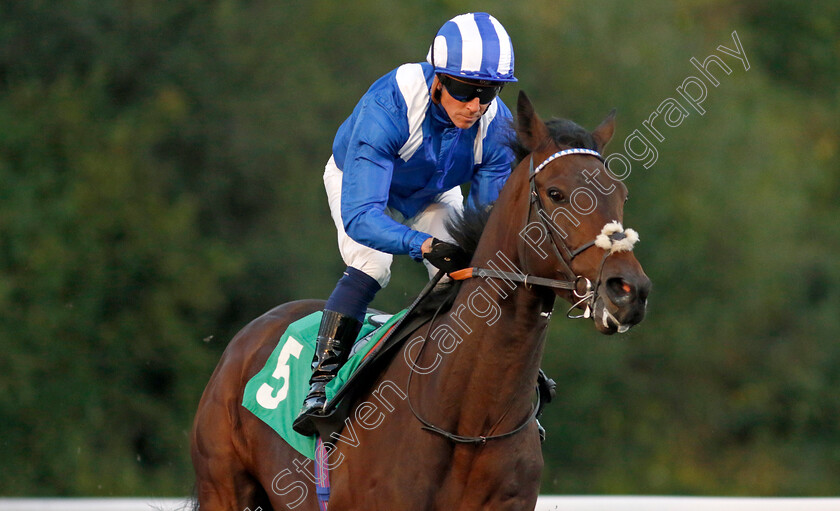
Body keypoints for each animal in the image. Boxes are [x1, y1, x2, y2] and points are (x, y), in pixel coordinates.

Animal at [190, 93, 648, 511]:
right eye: (555, 193)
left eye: (622, 194)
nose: (628, 291)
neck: (469, 419)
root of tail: (255, 330)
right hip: (223, 488)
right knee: (366, 267)